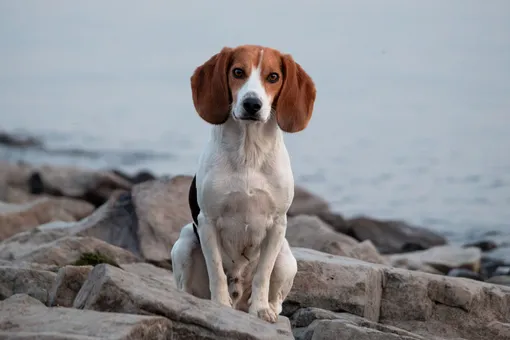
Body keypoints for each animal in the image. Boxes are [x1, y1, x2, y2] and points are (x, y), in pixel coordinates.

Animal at [171, 43, 314, 322]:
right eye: (238, 72)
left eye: (273, 77)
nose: (252, 104)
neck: (249, 150)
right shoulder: (207, 221)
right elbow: (216, 271)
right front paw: (220, 305)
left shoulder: (277, 224)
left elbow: (263, 274)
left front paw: (260, 309)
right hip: (184, 242)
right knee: (187, 287)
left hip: (286, 258)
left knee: (277, 297)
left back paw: (268, 307)